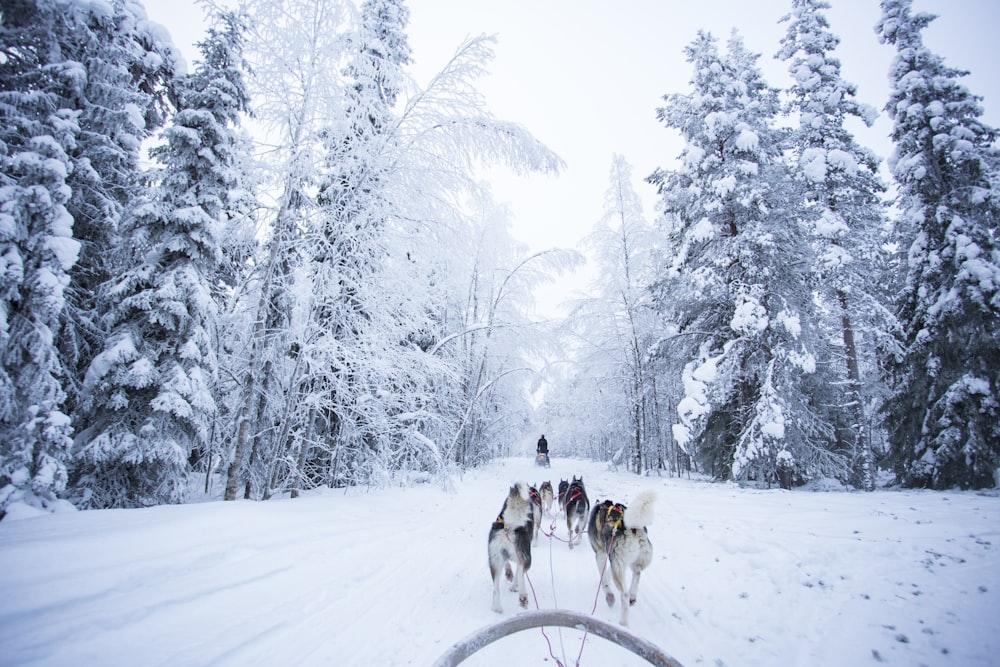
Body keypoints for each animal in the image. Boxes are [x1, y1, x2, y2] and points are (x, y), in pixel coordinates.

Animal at [488, 482, 536, 612]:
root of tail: (509, 527)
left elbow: (508, 565)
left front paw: (509, 574)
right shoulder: (520, 559)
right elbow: (518, 573)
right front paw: (514, 586)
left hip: (495, 561)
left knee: (495, 587)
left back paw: (496, 607)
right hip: (526, 559)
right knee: (521, 575)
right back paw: (522, 597)